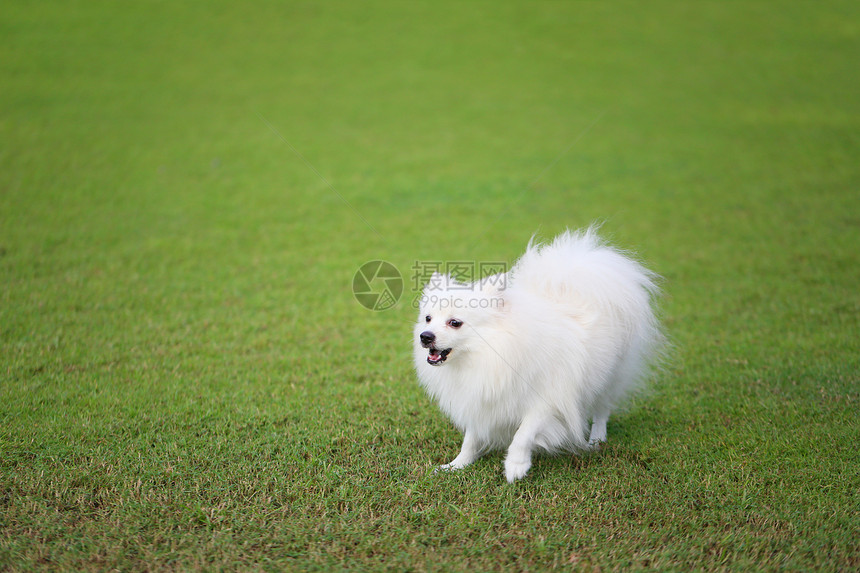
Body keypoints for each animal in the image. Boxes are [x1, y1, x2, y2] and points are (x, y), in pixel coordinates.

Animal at [414, 228, 660, 482]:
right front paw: (457, 465)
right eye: (428, 319)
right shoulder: (481, 398)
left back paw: (596, 439)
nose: (425, 336)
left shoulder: (548, 400)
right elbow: (471, 438)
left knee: (602, 408)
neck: (490, 354)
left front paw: (516, 465)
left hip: (609, 376)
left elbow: (524, 433)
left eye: (455, 323)